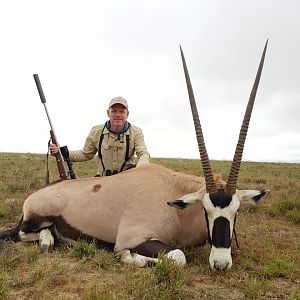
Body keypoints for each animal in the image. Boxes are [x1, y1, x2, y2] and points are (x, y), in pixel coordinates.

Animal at [0, 41, 270, 272]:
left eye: (236, 211)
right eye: (206, 210)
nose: (221, 264)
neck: (174, 199)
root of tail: (36, 195)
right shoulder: (134, 236)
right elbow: (177, 257)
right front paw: (130, 257)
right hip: (36, 218)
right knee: (24, 233)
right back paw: (47, 242)